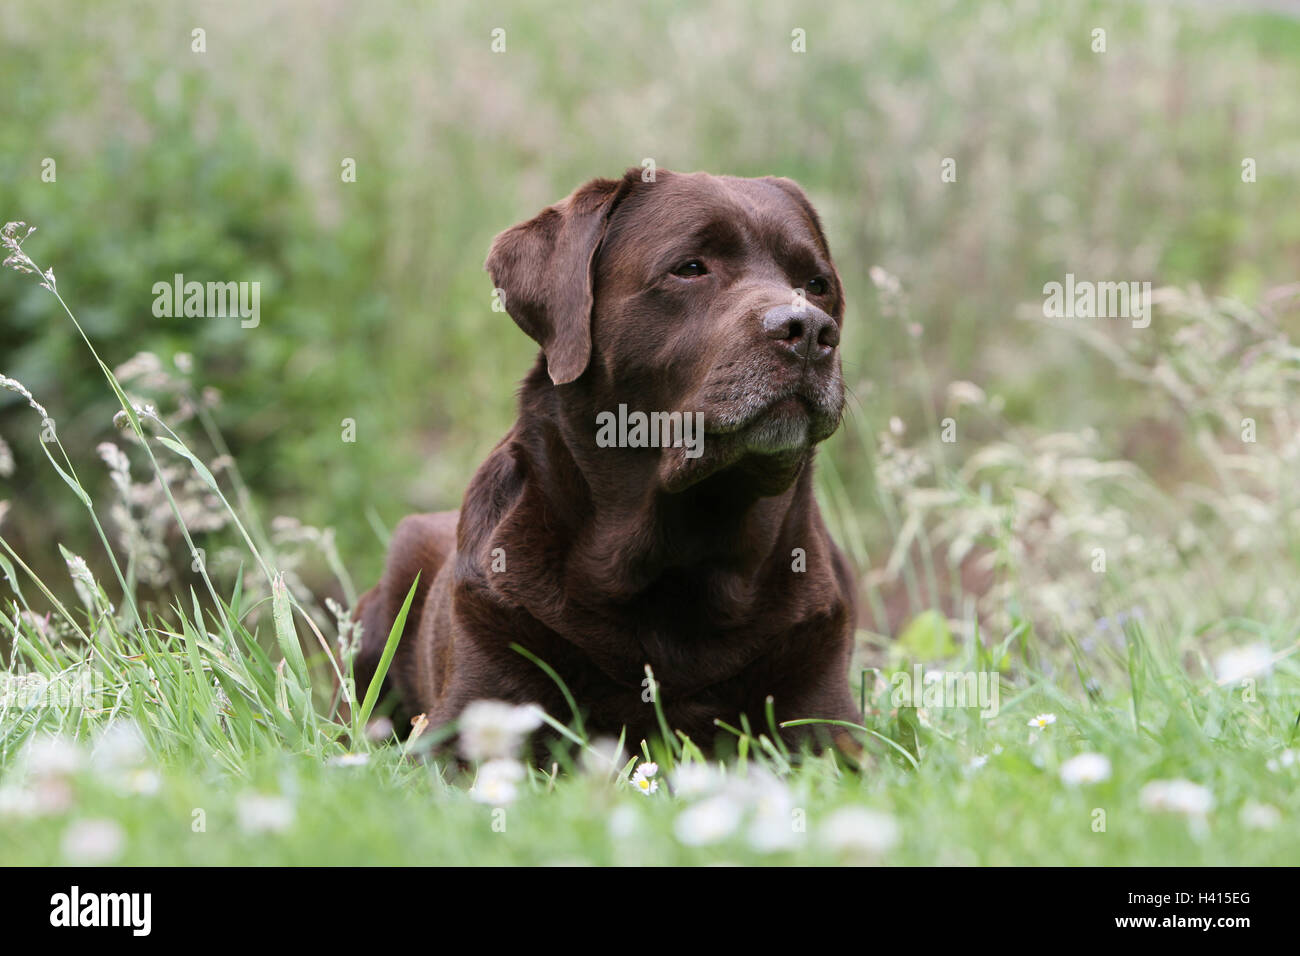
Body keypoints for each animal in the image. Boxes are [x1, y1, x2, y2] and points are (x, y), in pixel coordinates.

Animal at [358, 170, 863, 754]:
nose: (810, 331)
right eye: (691, 268)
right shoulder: (461, 726)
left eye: (816, 284)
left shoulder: (833, 725)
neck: (683, 552)